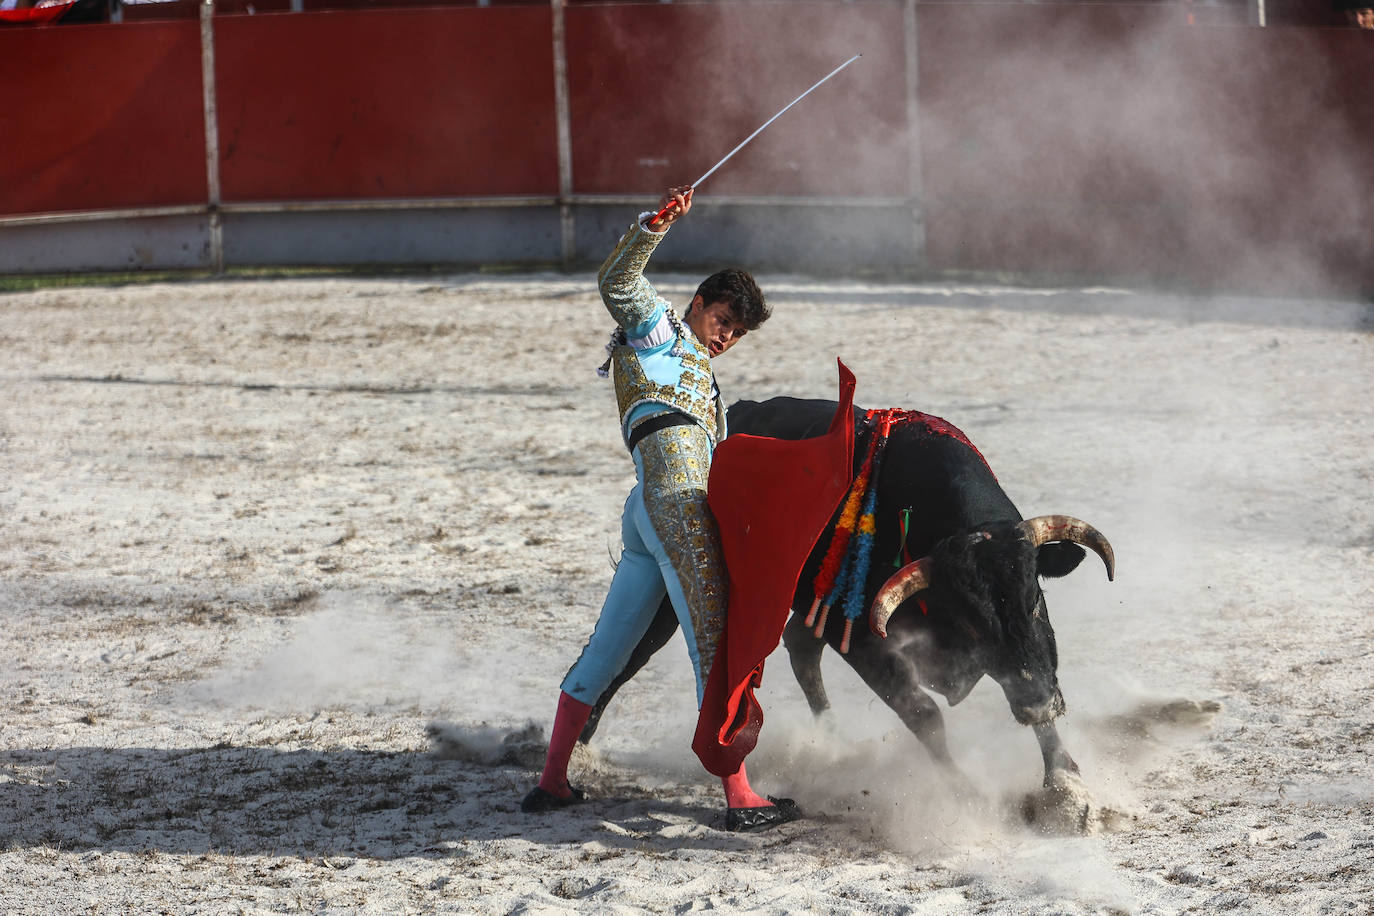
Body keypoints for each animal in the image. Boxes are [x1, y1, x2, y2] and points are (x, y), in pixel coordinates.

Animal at [574, 395, 1110, 796]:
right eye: (973, 622)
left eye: (1034, 599)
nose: (1039, 704)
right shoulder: (855, 635)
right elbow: (923, 712)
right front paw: (964, 789)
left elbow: (1034, 679)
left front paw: (1065, 788)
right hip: (672, 592)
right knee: (627, 656)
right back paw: (580, 752)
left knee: (798, 648)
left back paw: (831, 742)